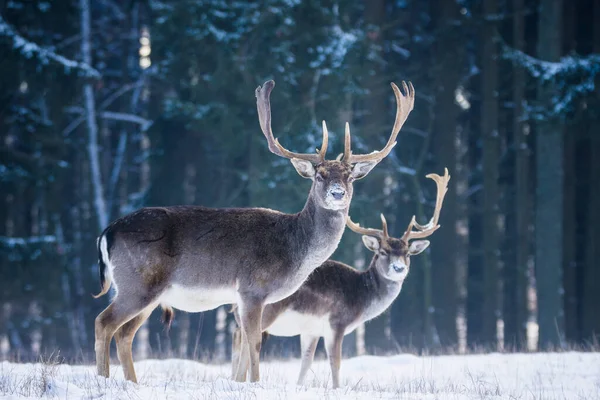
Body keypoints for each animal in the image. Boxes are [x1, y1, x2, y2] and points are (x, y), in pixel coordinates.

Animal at [92, 79, 418, 382]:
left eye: (350, 177)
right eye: (319, 176)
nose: (337, 193)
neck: (294, 251)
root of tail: (107, 232)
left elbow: (247, 349)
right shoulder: (252, 289)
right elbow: (254, 344)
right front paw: (254, 384)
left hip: (146, 292)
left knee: (124, 333)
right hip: (138, 282)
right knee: (104, 322)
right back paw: (104, 379)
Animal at [231, 169, 450, 388]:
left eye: (408, 254)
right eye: (382, 252)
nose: (399, 268)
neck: (361, 297)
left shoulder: (311, 330)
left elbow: (306, 362)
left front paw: (300, 386)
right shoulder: (337, 322)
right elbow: (335, 362)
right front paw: (337, 387)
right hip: (267, 309)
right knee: (242, 336)